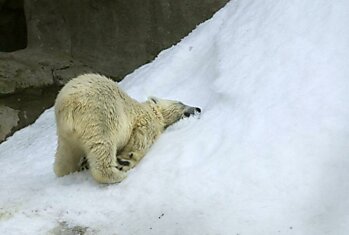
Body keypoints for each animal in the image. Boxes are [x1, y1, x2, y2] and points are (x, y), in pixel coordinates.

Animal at [53, 73, 200, 184]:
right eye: (180, 102)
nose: (198, 108)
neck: (150, 110)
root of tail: (67, 104)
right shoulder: (145, 121)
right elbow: (139, 141)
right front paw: (124, 161)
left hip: (66, 133)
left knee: (65, 155)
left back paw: (66, 171)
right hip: (99, 117)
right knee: (102, 146)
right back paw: (116, 175)